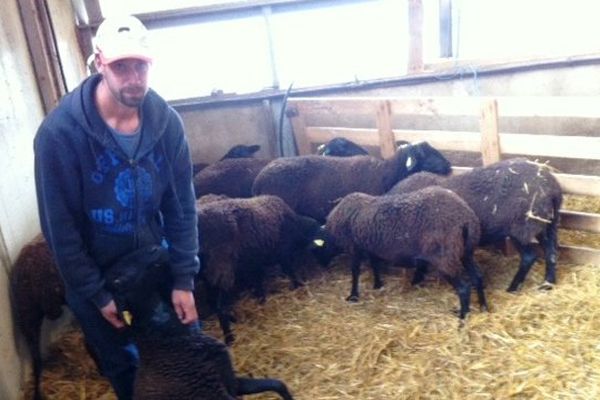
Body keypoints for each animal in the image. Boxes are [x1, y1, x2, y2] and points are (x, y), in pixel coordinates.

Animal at [195, 195, 322, 344]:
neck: (295, 224)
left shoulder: (254, 262)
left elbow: (258, 281)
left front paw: (261, 299)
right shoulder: (283, 253)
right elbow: (289, 270)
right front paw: (298, 285)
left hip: (209, 274)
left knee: (212, 302)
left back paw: (234, 319)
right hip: (221, 270)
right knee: (220, 307)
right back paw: (230, 337)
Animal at [390, 158, 564, 292]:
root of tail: (551, 186)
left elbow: (420, 263)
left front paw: (416, 281)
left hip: (521, 227)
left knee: (529, 257)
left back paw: (513, 287)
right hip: (546, 223)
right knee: (551, 251)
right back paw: (548, 283)